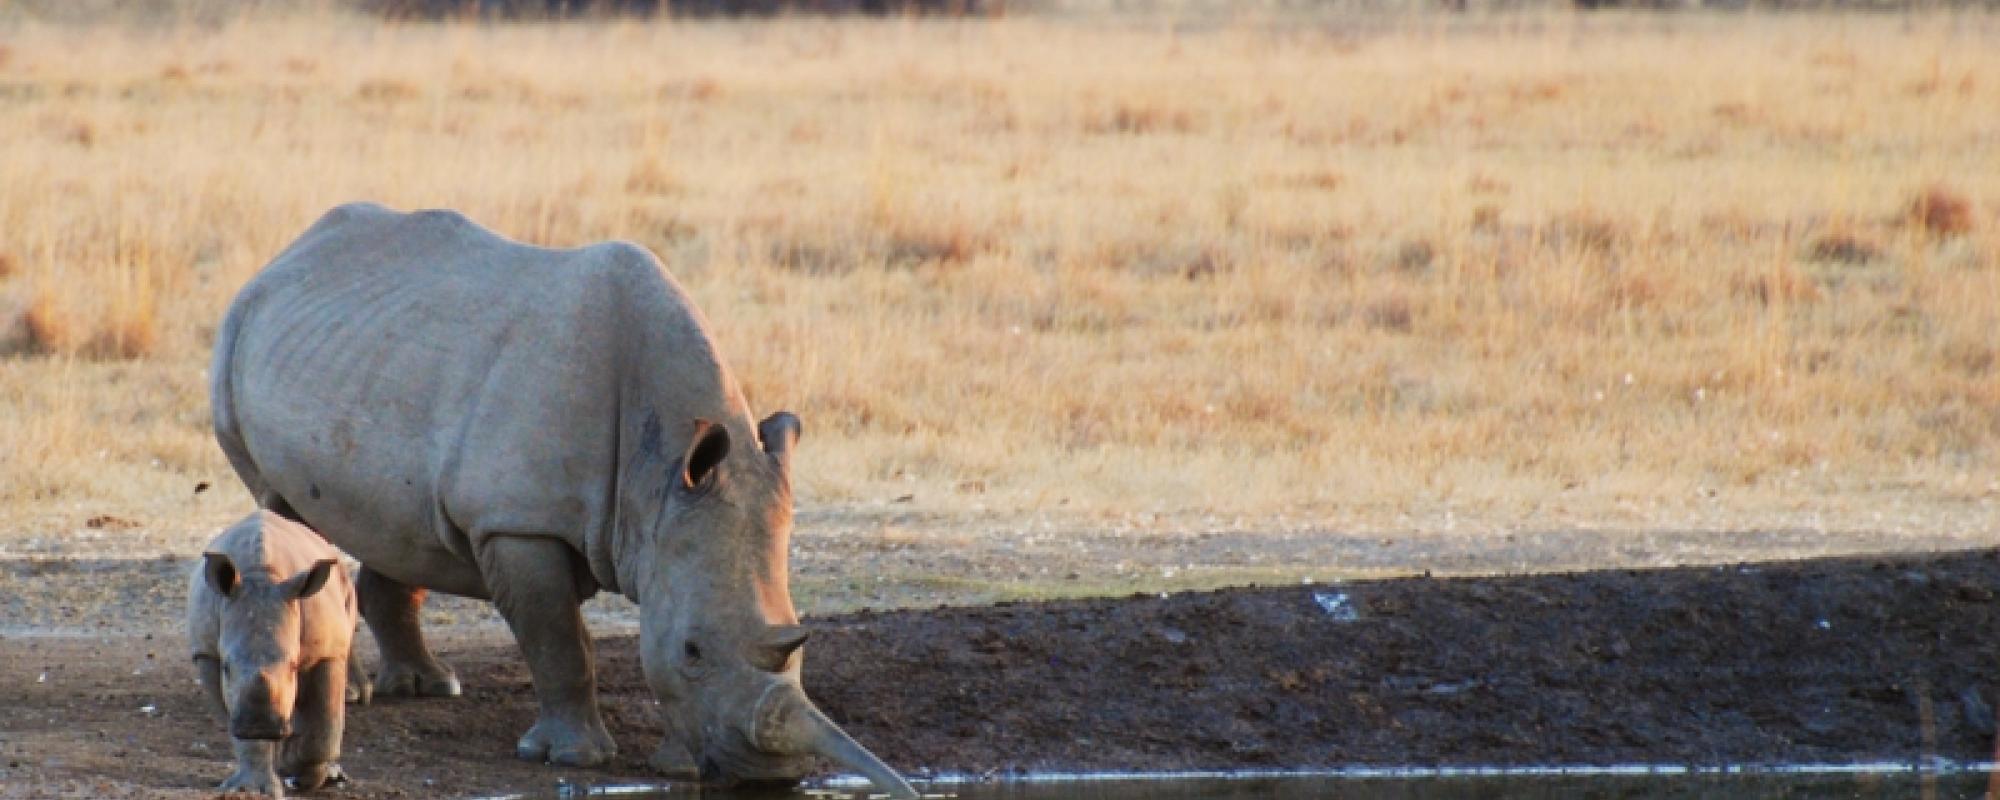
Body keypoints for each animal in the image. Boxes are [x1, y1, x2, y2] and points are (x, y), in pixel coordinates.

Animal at [188, 512, 368, 792]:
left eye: (293, 666)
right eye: (226, 668)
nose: (259, 726)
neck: (263, 574)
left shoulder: (328, 650)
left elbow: (325, 724)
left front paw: (305, 775)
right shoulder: (206, 653)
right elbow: (236, 720)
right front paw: (251, 788)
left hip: (342, 584)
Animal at [209, 203, 916, 796]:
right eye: (694, 651)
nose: (770, 775)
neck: (658, 478)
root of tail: (288, 253)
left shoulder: (665, 529)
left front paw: (681, 766)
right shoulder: (519, 525)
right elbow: (558, 641)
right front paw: (574, 758)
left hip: (364, 351)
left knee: (399, 526)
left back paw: (430, 687)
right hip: (236, 336)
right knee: (283, 510)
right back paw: (357, 694)